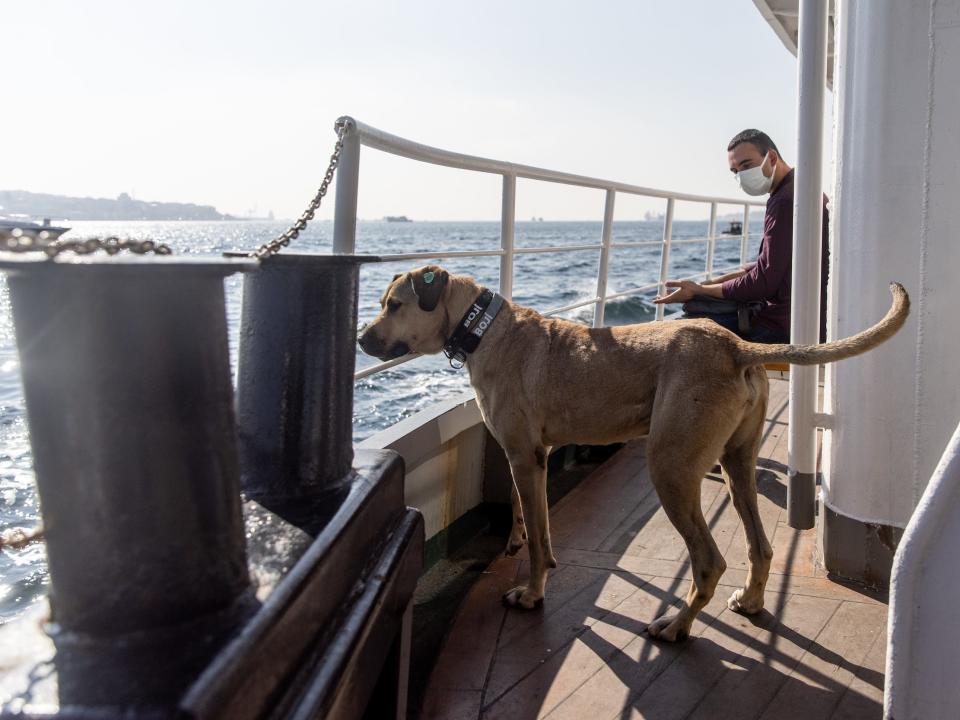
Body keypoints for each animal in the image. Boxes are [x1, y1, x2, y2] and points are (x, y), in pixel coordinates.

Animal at [358, 266, 908, 640]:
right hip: (737, 463)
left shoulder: (522, 454)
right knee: (760, 546)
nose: (361, 338)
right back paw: (750, 601)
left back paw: (677, 626)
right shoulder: (530, 454)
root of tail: (736, 347)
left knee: (709, 561)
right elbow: (531, 517)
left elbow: (535, 533)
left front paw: (532, 594)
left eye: (393, 304)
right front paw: (534, 551)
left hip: (670, 467)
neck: (484, 327)